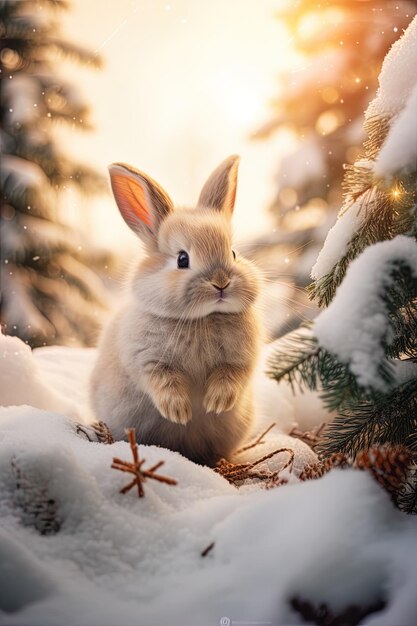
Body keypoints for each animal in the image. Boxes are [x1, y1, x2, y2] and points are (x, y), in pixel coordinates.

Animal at [90, 155, 260, 466]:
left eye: (233, 254)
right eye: (183, 259)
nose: (221, 282)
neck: (202, 318)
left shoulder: (241, 359)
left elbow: (231, 375)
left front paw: (215, 403)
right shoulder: (147, 360)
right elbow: (162, 381)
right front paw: (179, 412)